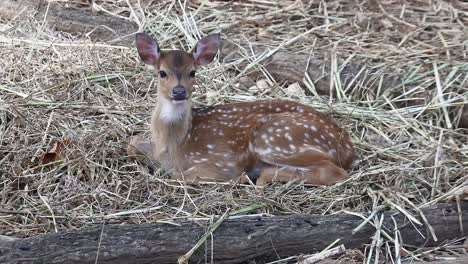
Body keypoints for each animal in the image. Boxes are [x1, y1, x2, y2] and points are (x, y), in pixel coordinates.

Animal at [128, 32, 354, 187]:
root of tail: (347, 150)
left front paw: (240, 178)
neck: (174, 144)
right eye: (162, 73)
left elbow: (183, 175)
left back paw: (259, 176)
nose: (179, 91)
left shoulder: (220, 163)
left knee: (334, 173)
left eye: (193, 72)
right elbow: (132, 144)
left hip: (274, 138)